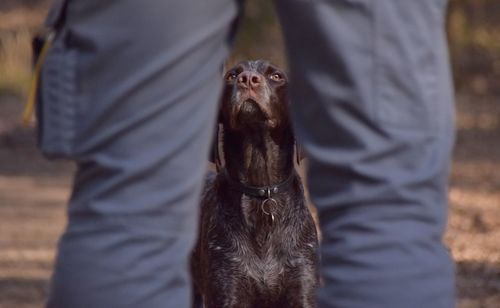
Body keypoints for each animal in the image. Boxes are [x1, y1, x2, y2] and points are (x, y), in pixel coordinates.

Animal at [189, 60, 318, 308]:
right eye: (232, 76)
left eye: (276, 76)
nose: (248, 79)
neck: (261, 191)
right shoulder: (226, 291)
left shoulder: (303, 288)